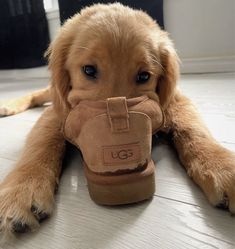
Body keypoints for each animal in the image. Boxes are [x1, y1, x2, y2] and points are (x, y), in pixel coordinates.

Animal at [0, 2, 234, 235]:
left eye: (144, 76)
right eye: (88, 70)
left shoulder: (176, 100)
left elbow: (193, 129)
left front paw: (221, 165)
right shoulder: (59, 112)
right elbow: (42, 142)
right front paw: (22, 189)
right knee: (39, 93)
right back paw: (9, 105)